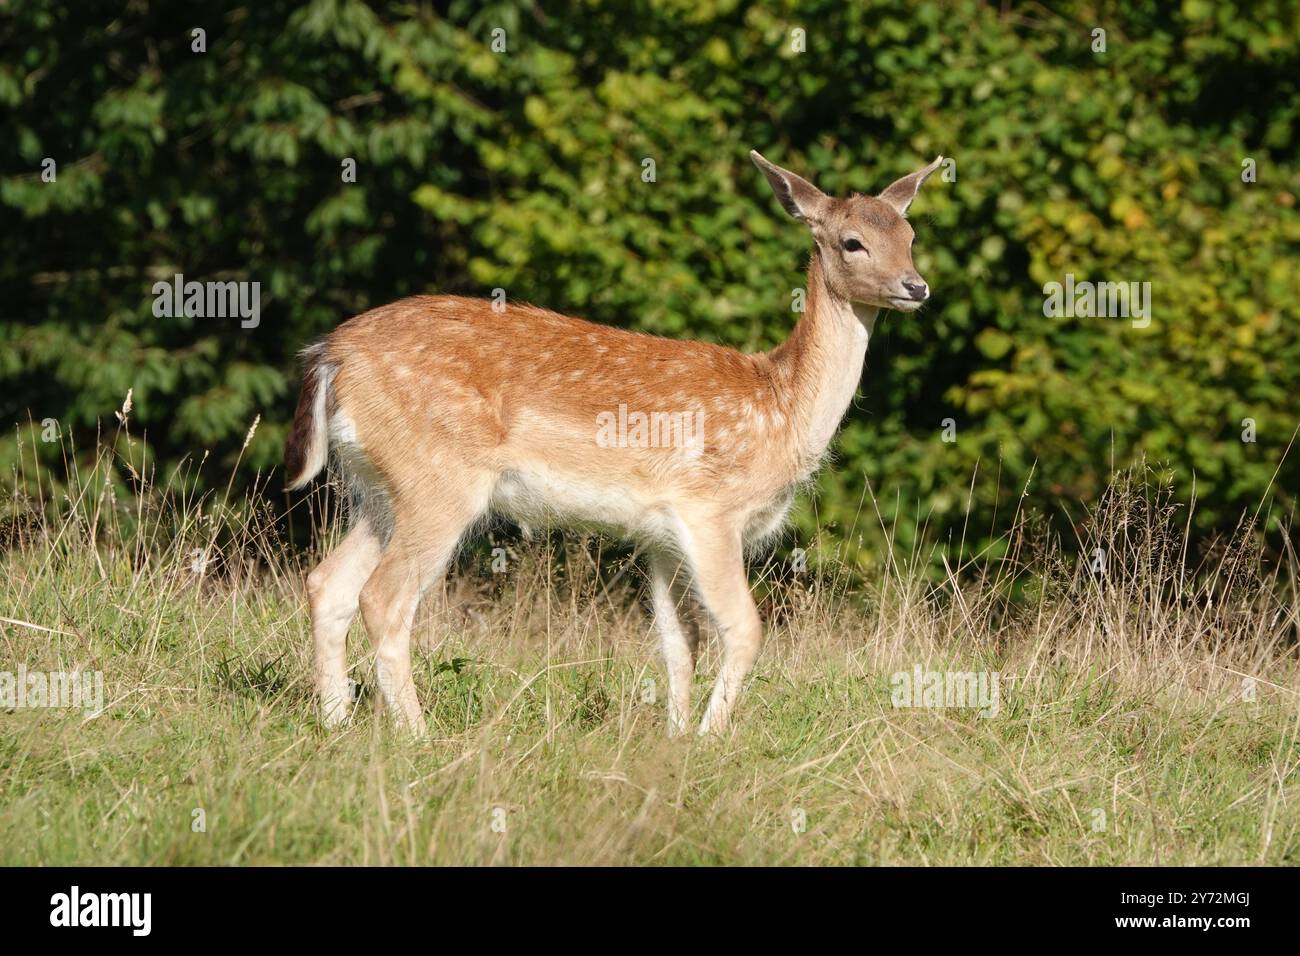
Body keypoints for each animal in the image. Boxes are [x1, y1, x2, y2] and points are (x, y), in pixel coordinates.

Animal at [284, 149, 944, 737]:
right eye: (852, 242)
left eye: (911, 234)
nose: (916, 286)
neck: (781, 410)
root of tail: (331, 355)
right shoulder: (708, 509)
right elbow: (745, 629)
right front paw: (711, 738)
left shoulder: (661, 534)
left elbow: (680, 643)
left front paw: (675, 740)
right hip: (439, 479)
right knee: (382, 597)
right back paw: (418, 736)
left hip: (380, 487)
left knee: (327, 583)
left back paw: (337, 723)